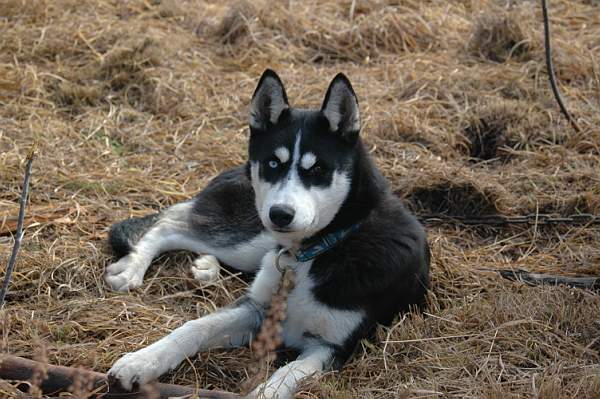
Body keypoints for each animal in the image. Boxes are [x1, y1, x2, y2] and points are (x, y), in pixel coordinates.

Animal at [105, 70, 428, 398]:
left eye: (318, 169)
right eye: (273, 162)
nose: (280, 214)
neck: (318, 250)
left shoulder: (331, 347)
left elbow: (285, 375)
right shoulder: (257, 309)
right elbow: (196, 327)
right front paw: (142, 361)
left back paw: (205, 267)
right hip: (252, 237)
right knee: (169, 225)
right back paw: (131, 269)